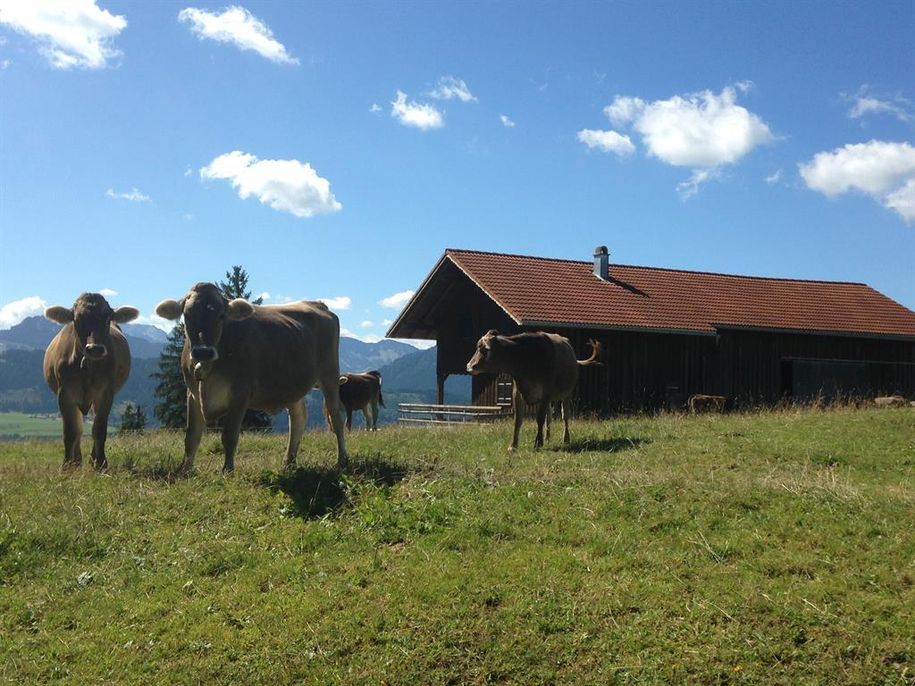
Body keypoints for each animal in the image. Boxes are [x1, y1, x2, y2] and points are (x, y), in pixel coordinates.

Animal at [43, 292, 140, 470]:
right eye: (77, 319)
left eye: (107, 318)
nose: (95, 349)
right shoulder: (64, 394)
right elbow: (71, 431)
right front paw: (67, 465)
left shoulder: (106, 394)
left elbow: (99, 429)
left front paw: (101, 463)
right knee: (78, 428)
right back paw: (77, 461)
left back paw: (92, 459)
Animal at [156, 284, 348, 472]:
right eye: (187, 315)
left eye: (221, 315)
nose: (203, 351)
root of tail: (318, 304)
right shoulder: (192, 393)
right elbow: (191, 436)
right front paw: (185, 470)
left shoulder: (241, 393)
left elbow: (229, 436)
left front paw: (227, 471)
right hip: (293, 386)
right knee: (298, 418)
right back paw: (289, 462)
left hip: (330, 374)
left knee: (336, 417)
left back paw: (341, 461)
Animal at [466, 332, 600, 454]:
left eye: (482, 349)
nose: (469, 366)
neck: (526, 359)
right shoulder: (518, 392)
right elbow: (518, 420)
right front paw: (513, 445)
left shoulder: (546, 392)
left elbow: (539, 418)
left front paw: (538, 443)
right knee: (549, 416)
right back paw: (548, 437)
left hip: (566, 394)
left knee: (565, 416)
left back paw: (566, 438)